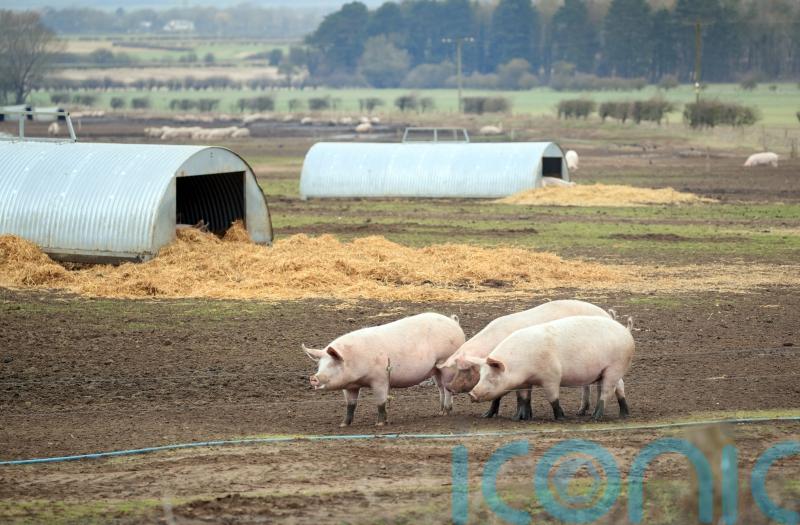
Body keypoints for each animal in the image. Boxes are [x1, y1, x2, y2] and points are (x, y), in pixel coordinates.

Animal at [303, 312, 465, 427]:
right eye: (319, 365)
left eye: (332, 364)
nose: (313, 377)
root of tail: (453, 321)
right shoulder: (350, 386)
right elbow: (351, 404)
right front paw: (343, 424)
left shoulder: (380, 378)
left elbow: (380, 401)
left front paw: (380, 423)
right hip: (435, 368)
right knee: (441, 387)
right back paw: (440, 412)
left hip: (446, 362)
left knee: (447, 388)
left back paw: (446, 412)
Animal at [439, 300, 614, 420]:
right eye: (458, 368)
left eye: (466, 369)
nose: (450, 386)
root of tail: (608, 315)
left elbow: (505, 395)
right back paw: (581, 412)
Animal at [467, 315, 634, 421]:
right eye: (481, 375)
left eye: (492, 377)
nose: (472, 394)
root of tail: (626, 331)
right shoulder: (525, 382)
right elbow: (523, 398)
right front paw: (519, 418)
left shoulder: (552, 376)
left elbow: (553, 398)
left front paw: (561, 418)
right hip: (605, 372)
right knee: (617, 388)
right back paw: (623, 414)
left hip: (615, 367)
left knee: (607, 391)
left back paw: (596, 417)